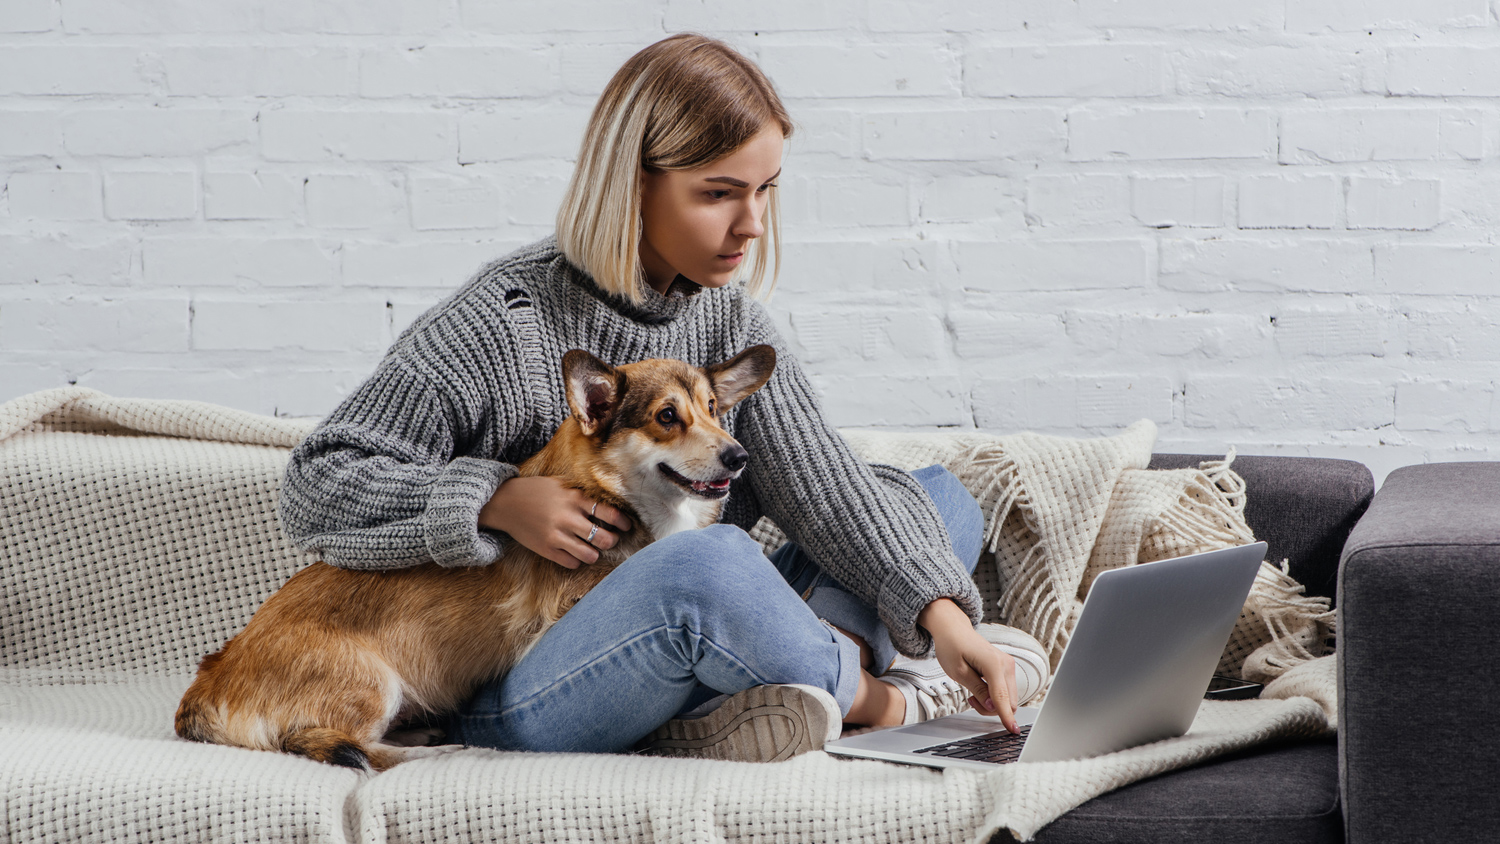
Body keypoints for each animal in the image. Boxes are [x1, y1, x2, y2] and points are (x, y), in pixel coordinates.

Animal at [178, 343, 774, 773]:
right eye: (666, 417)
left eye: (714, 410)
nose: (738, 456)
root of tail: (208, 682)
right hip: (372, 682)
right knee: (353, 747)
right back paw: (435, 750)